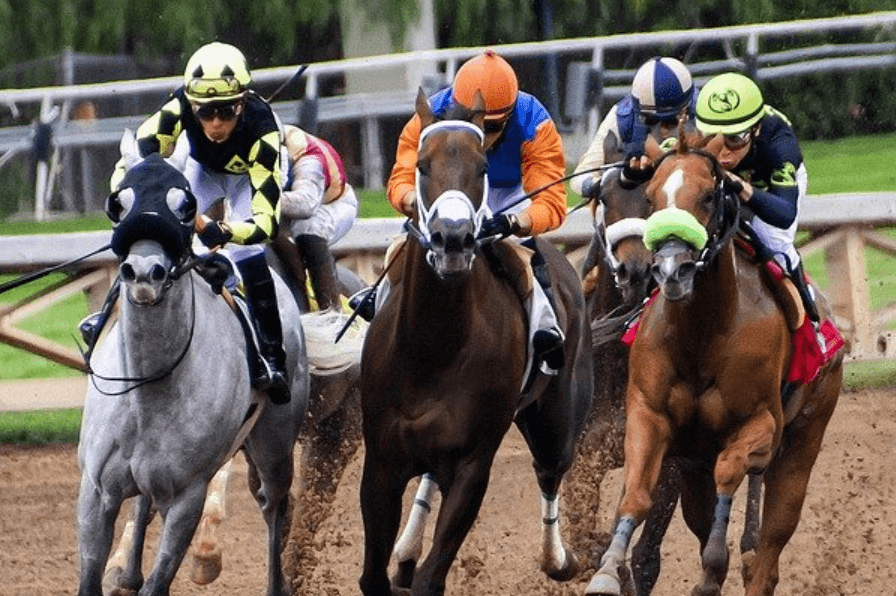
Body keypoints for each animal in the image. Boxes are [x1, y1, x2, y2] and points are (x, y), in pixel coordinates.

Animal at [77, 133, 310, 596]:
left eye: (184, 205)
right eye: (118, 202)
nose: (143, 272)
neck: (149, 387)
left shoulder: (188, 496)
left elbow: (161, 577)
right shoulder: (95, 492)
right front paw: (119, 572)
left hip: (275, 442)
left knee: (274, 504)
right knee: (144, 503)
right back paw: (126, 572)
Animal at [357, 89, 594, 596]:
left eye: (482, 167)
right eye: (422, 164)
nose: (453, 239)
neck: (433, 348)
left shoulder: (471, 465)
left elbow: (431, 578)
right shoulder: (382, 461)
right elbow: (373, 576)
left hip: (557, 418)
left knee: (550, 470)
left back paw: (558, 559)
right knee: (429, 479)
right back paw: (406, 550)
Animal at [584, 135, 844, 596]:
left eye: (709, 195)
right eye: (651, 197)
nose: (668, 269)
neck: (702, 332)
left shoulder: (761, 425)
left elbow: (730, 471)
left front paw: (712, 569)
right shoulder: (649, 419)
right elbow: (634, 494)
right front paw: (606, 571)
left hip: (803, 440)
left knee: (771, 546)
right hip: (693, 466)